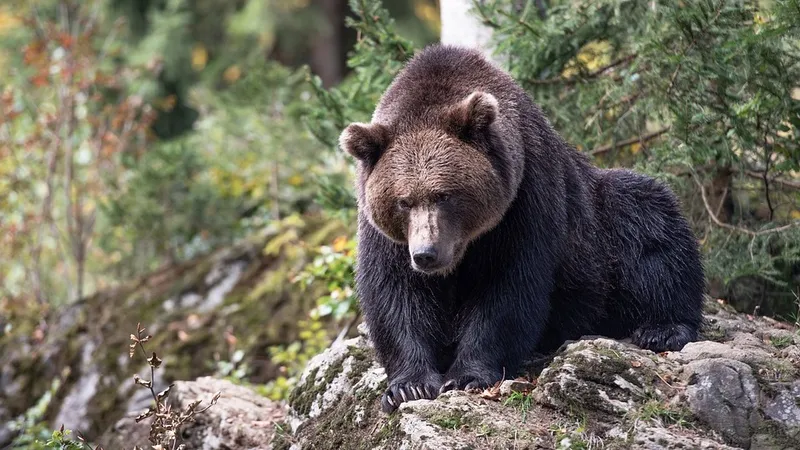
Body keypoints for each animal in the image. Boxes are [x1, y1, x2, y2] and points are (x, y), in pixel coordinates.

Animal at [338, 44, 705, 413]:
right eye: (403, 201)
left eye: (444, 194)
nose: (427, 254)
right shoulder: (385, 234)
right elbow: (395, 293)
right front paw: (408, 385)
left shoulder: (525, 197)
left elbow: (508, 286)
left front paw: (468, 375)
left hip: (601, 227)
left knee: (648, 222)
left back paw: (662, 328)